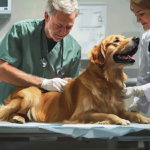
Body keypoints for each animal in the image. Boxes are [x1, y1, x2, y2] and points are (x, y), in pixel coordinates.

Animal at [0, 34, 149, 125]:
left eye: (124, 38)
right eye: (116, 40)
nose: (137, 38)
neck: (107, 81)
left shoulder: (118, 109)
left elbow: (131, 114)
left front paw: (144, 118)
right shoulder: (80, 114)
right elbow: (107, 115)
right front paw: (118, 120)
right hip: (32, 93)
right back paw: (18, 117)